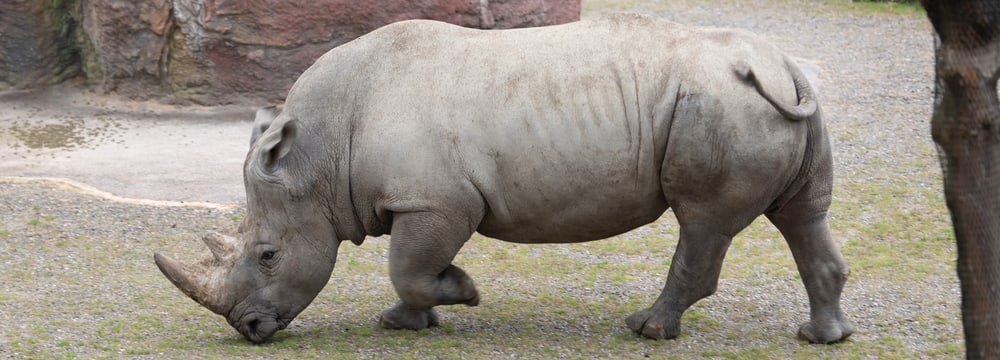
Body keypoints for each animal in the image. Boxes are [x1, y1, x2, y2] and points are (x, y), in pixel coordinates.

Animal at [154, 13, 852, 346]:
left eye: (269, 255)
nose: (247, 329)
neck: (319, 156)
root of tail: (782, 64)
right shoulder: (425, 202)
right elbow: (408, 272)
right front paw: (404, 322)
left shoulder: (435, 201)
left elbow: (409, 267)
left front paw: (461, 293)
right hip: (771, 106)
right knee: (802, 215)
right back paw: (822, 338)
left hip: (722, 106)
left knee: (702, 222)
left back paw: (646, 329)